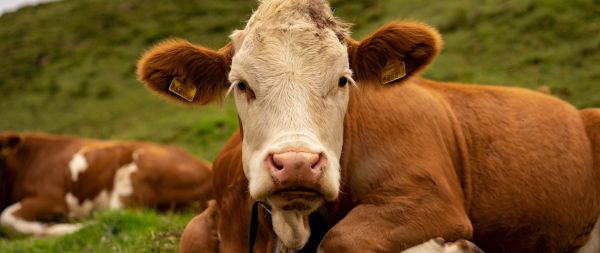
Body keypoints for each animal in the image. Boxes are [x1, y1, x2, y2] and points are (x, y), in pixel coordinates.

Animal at [136, 0, 600, 253]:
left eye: (343, 79)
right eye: (241, 84)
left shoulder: (433, 199)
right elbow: (192, 235)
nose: (297, 164)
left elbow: (343, 238)